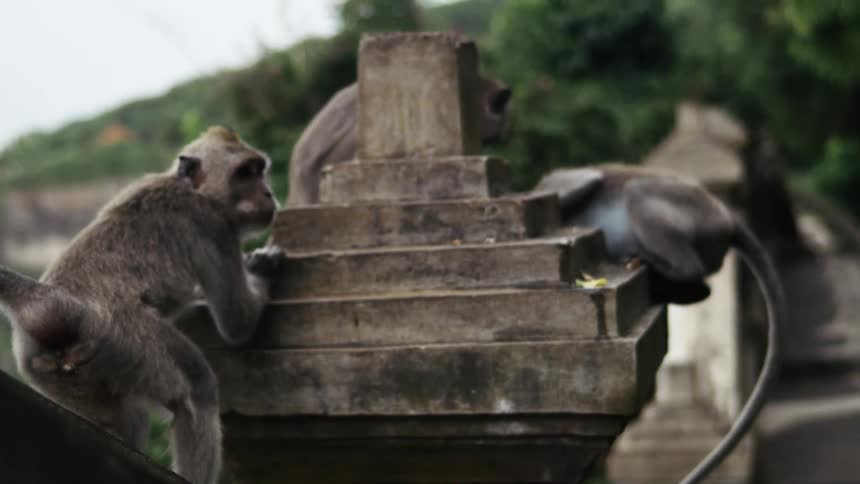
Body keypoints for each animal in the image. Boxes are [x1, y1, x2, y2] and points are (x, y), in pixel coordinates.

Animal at [0, 126, 282, 484]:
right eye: (245, 172)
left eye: (259, 170)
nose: (269, 195)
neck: (189, 187)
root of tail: (54, 304)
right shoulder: (215, 225)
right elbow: (237, 322)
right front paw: (262, 268)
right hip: (127, 340)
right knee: (197, 387)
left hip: (58, 372)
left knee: (127, 416)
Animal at [534, 163, 783, 484]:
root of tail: (728, 219)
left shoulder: (555, 183)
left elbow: (581, 181)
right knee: (703, 288)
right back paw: (662, 284)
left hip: (691, 213)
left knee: (639, 194)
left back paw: (653, 268)